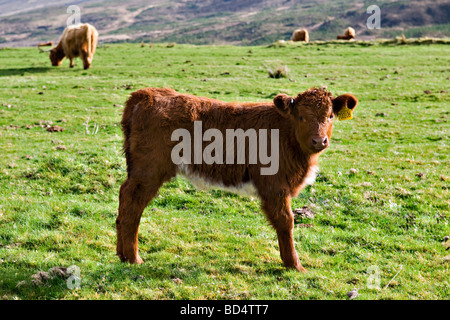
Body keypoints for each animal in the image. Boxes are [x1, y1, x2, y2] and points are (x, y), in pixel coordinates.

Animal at [115, 87, 358, 270]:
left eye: (330, 116)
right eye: (301, 117)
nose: (319, 141)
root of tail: (147, 93)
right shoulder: (275, 186)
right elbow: (286, 221)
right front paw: (294, 264)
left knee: (124, 200)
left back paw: (121, 254)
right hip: (148, 172)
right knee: (132, 206)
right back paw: (133, 258)